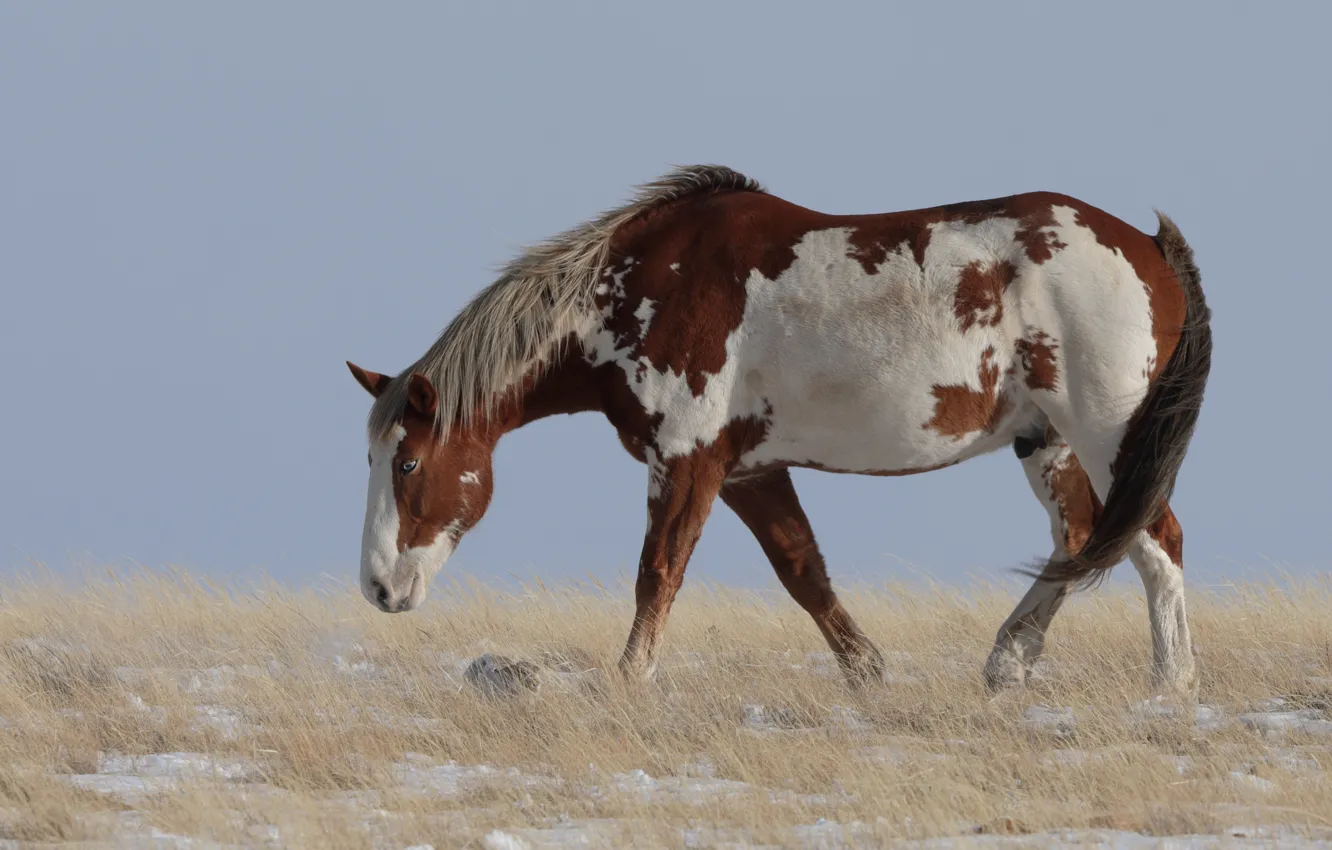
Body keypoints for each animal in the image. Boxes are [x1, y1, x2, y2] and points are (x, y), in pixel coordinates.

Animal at [346, 165, 1211, 694]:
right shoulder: (747, 470)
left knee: (1154, 541)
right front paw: (868, 674)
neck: (636, 289)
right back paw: (1008, 661)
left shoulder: (687, 460)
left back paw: (1170, 684)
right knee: (1079, 542)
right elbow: (804, 573)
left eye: (408, 465)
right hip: (1047, 442)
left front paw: (626, 682)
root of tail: (1146, 247)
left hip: (1108, 434)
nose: (380, 588)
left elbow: (658, 574)